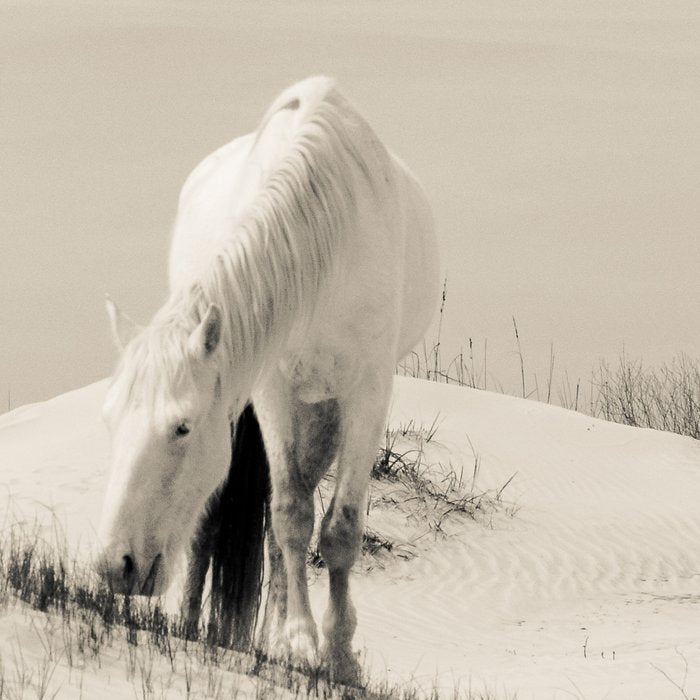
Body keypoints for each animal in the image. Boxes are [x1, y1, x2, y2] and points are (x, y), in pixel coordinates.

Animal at [96, 75, 439, 681]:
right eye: (110, 421)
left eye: (182, 428)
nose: (117, 564)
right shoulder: (271, 390)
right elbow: (289, 516)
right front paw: (303, 640)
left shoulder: (366, 393)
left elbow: (339, 527)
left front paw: (338, 653)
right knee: (236, 518)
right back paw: (201, 623)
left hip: (321, 409)